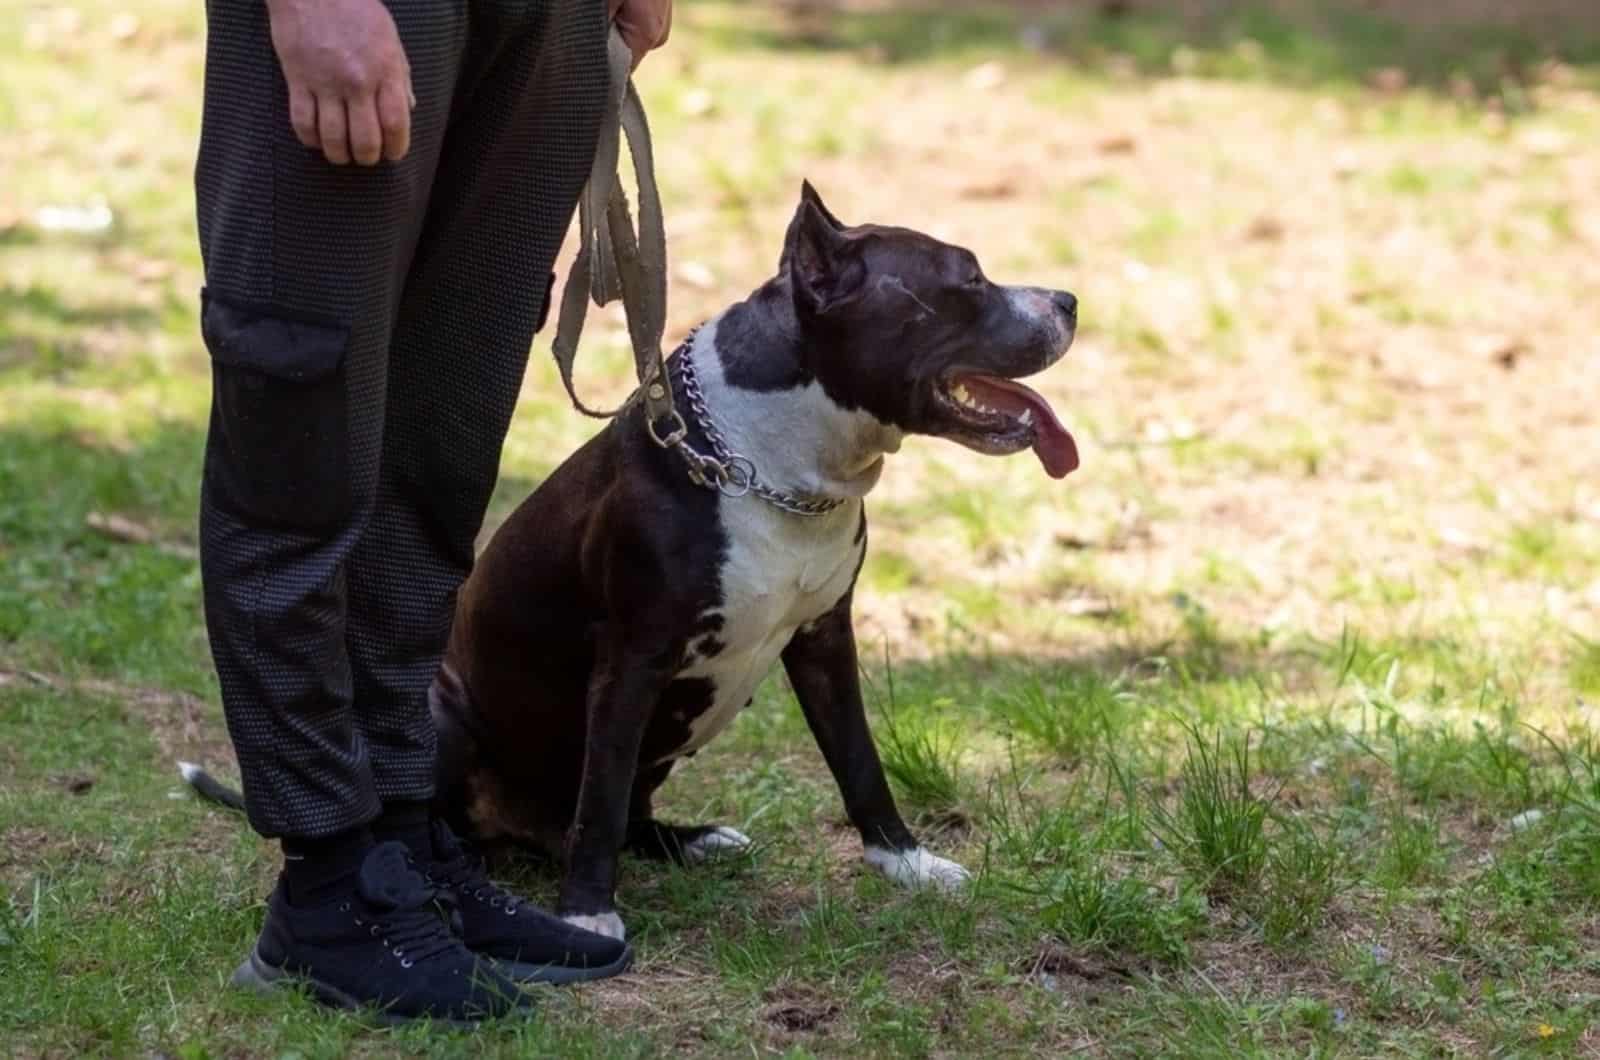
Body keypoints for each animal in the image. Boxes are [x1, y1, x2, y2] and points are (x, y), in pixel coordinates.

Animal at [432, 184, 1075, 947]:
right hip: (442, 715)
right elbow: (602, 800)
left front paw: (906, 863)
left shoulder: (825, 638)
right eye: (969, 280)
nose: (1068, 300)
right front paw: (588, 914)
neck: (772, 469)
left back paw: (694, 841)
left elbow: (860, 762)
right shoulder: (631, 662)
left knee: (624, 817)